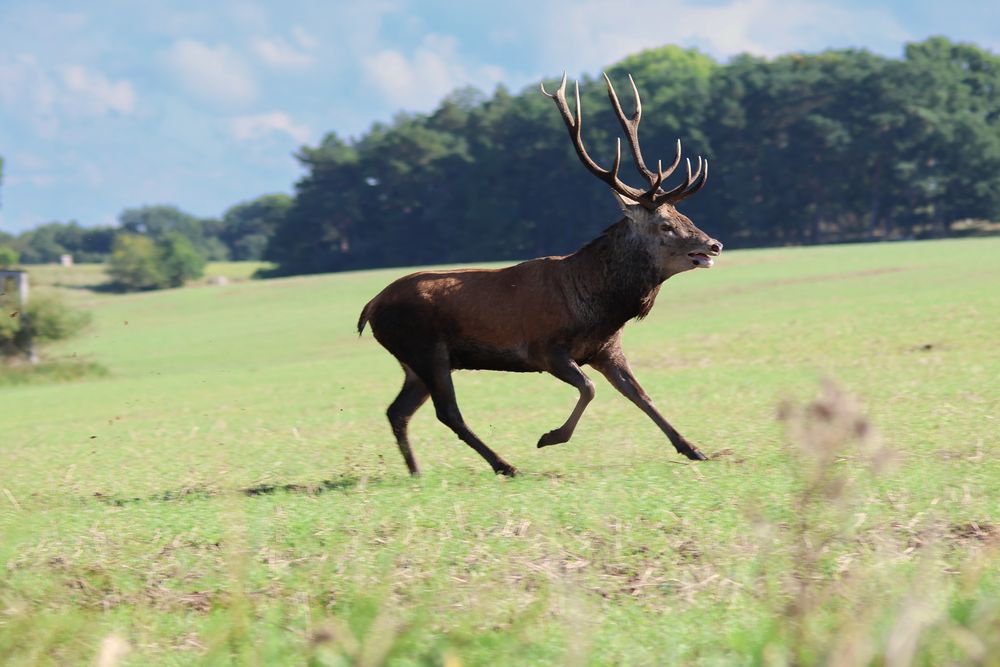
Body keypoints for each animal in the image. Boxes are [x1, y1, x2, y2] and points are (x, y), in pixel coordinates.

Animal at [356, 73, 724, 478]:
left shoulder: (607, 349)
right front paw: (550, 437)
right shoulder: (544, 349)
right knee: (447, 412)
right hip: (425, 348)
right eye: (665, 226)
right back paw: (505, 464)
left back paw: (418, 471)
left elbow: (642, 395)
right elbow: (589, 388)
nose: (713, 244)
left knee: (398, 410)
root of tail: (370, 306)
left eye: (684, 216)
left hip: (413, 362)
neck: (596, 307)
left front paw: (694, 449)